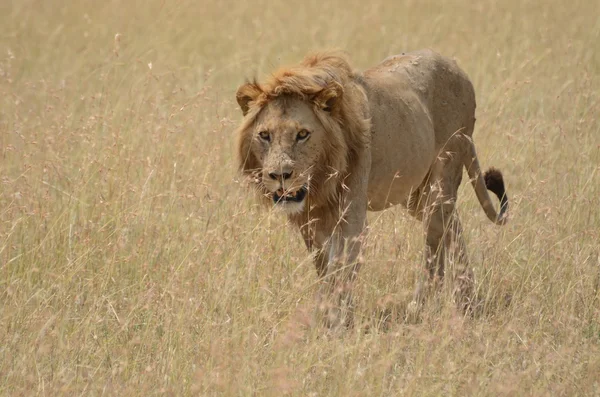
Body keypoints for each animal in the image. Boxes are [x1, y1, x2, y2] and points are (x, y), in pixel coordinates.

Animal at [233, 48, 506, 328]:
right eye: (264, 135)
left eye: (302, 134)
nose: (280, 175)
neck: (320, 182)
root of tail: (455, 66)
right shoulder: (309, 219)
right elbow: (325, 268)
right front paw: (328, 316)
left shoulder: (351, 214)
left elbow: (340, 268)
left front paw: (335, 323)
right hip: (415, 194)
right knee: (452, 227)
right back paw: (467, 301)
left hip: (442, 176)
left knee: (435, 236)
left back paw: (421, 306)